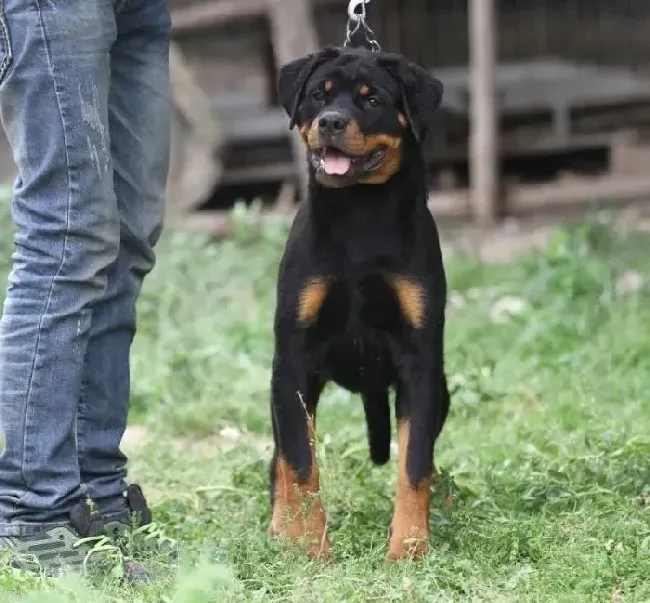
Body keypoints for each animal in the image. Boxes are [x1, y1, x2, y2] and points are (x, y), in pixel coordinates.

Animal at [266, 46, 448, 560]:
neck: (359, 214)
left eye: (372, 100)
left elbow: (415, 463)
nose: (330, 122)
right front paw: (310, 548)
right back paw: (278, 527)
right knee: (280, 458)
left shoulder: (420, 362)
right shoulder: (294, 360)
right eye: (317, 95)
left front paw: (408, 547)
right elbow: (300, 464)